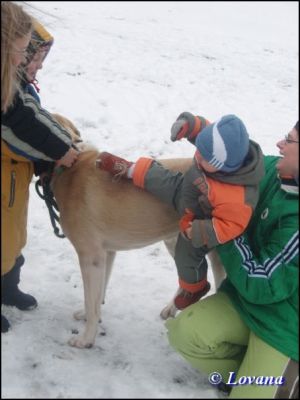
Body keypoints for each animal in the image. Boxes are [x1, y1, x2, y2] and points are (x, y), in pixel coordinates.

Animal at [51, 112, 225, 346]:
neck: (70, 167)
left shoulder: (91, 257)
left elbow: (91, 300)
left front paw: (86, 339)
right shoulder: (106, 254)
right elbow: (98, 296)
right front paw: (89, 318)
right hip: (175, 242)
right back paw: (172, 307)